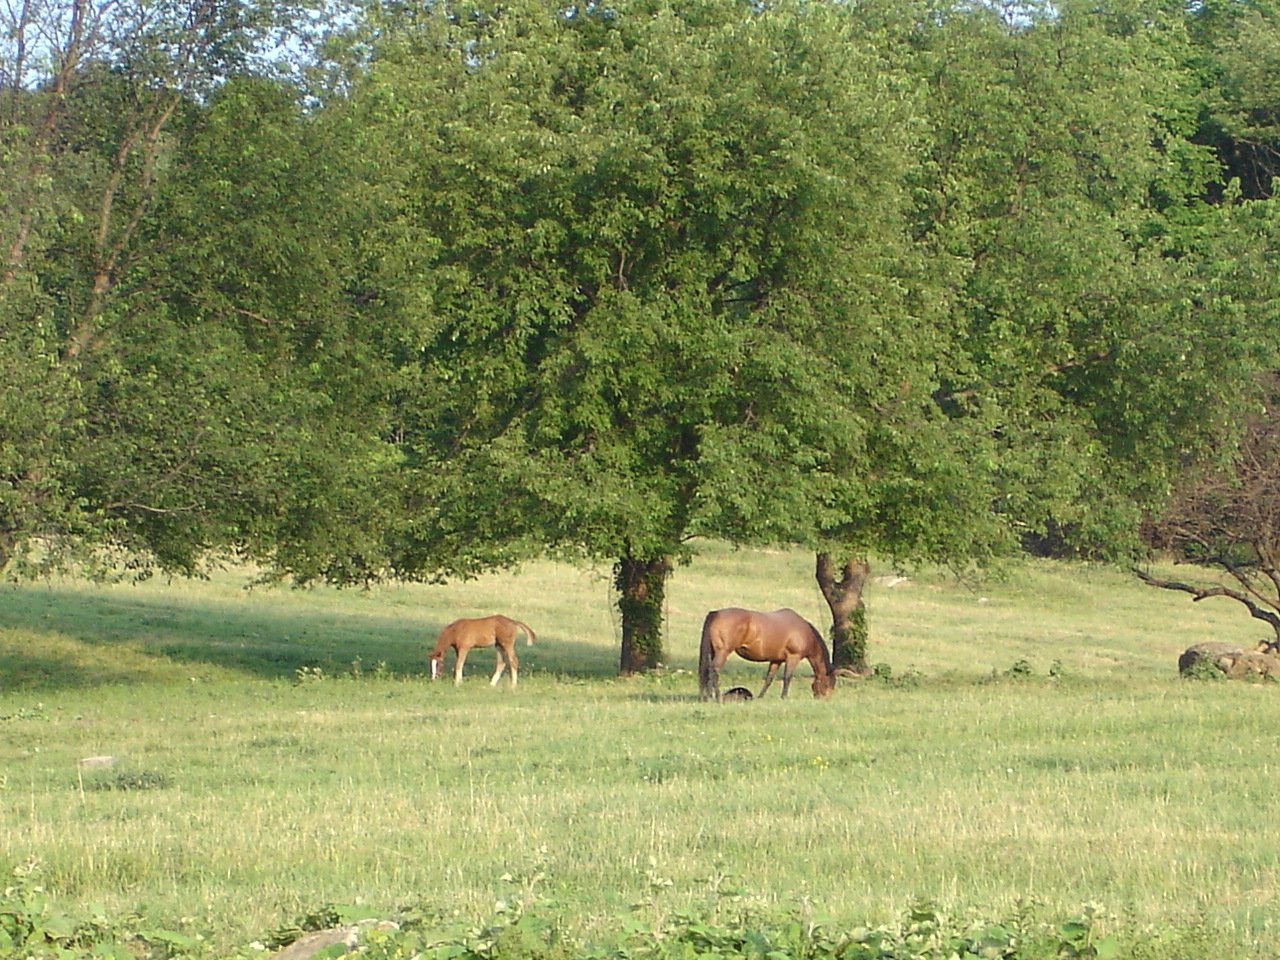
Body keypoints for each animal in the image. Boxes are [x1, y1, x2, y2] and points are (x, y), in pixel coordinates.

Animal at [698, 607, 835, 701]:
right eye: (828, 684)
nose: (825, 700)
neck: (805, 632)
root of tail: (716, 613)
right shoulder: (793, 657)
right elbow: (787, 677)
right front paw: (784, 697)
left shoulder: (776, 660)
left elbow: (769, 679)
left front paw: (760, 696)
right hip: (723, 652)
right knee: (714, 670)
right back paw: (716, 697)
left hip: (712, 652)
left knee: (706, 670)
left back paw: (706, 697)